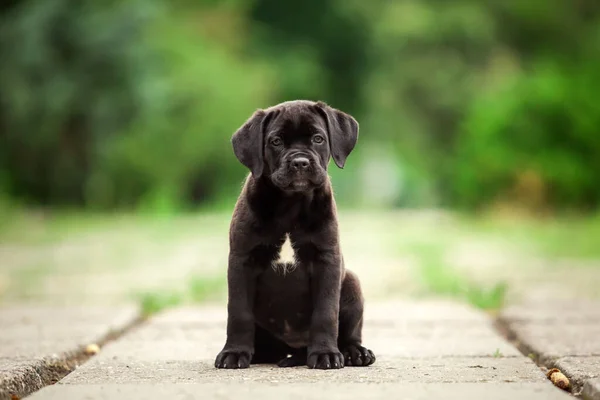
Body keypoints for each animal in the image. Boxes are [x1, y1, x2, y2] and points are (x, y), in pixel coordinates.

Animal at [214, 99, 376, 368]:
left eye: (318, 139)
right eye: (276, 141)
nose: (300, 162)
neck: (290, 203)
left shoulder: (326, 260)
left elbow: (326, 312)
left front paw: (325, 353)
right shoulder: (242, 260)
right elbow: (238, 312)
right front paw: (234, 352)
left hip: (352, 283)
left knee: (350, 332)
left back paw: (355, 352)